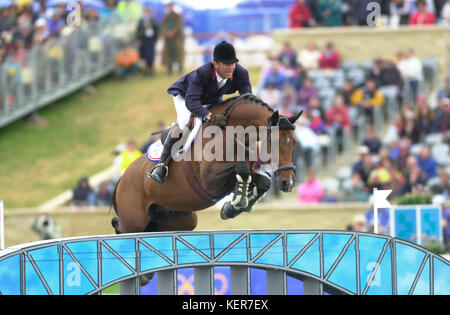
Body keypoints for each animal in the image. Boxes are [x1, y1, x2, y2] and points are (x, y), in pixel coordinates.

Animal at [110, 94, 300, 237]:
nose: (288, 183)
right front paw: (236, 203)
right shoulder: (209, 180)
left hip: (179, 219)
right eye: (273, 143)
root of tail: (122, 179)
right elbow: (241, 168)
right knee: (122, 227)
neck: (232, 134)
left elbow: (262, 181)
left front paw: (237, 205)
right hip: (134, 221)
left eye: (294, 143)